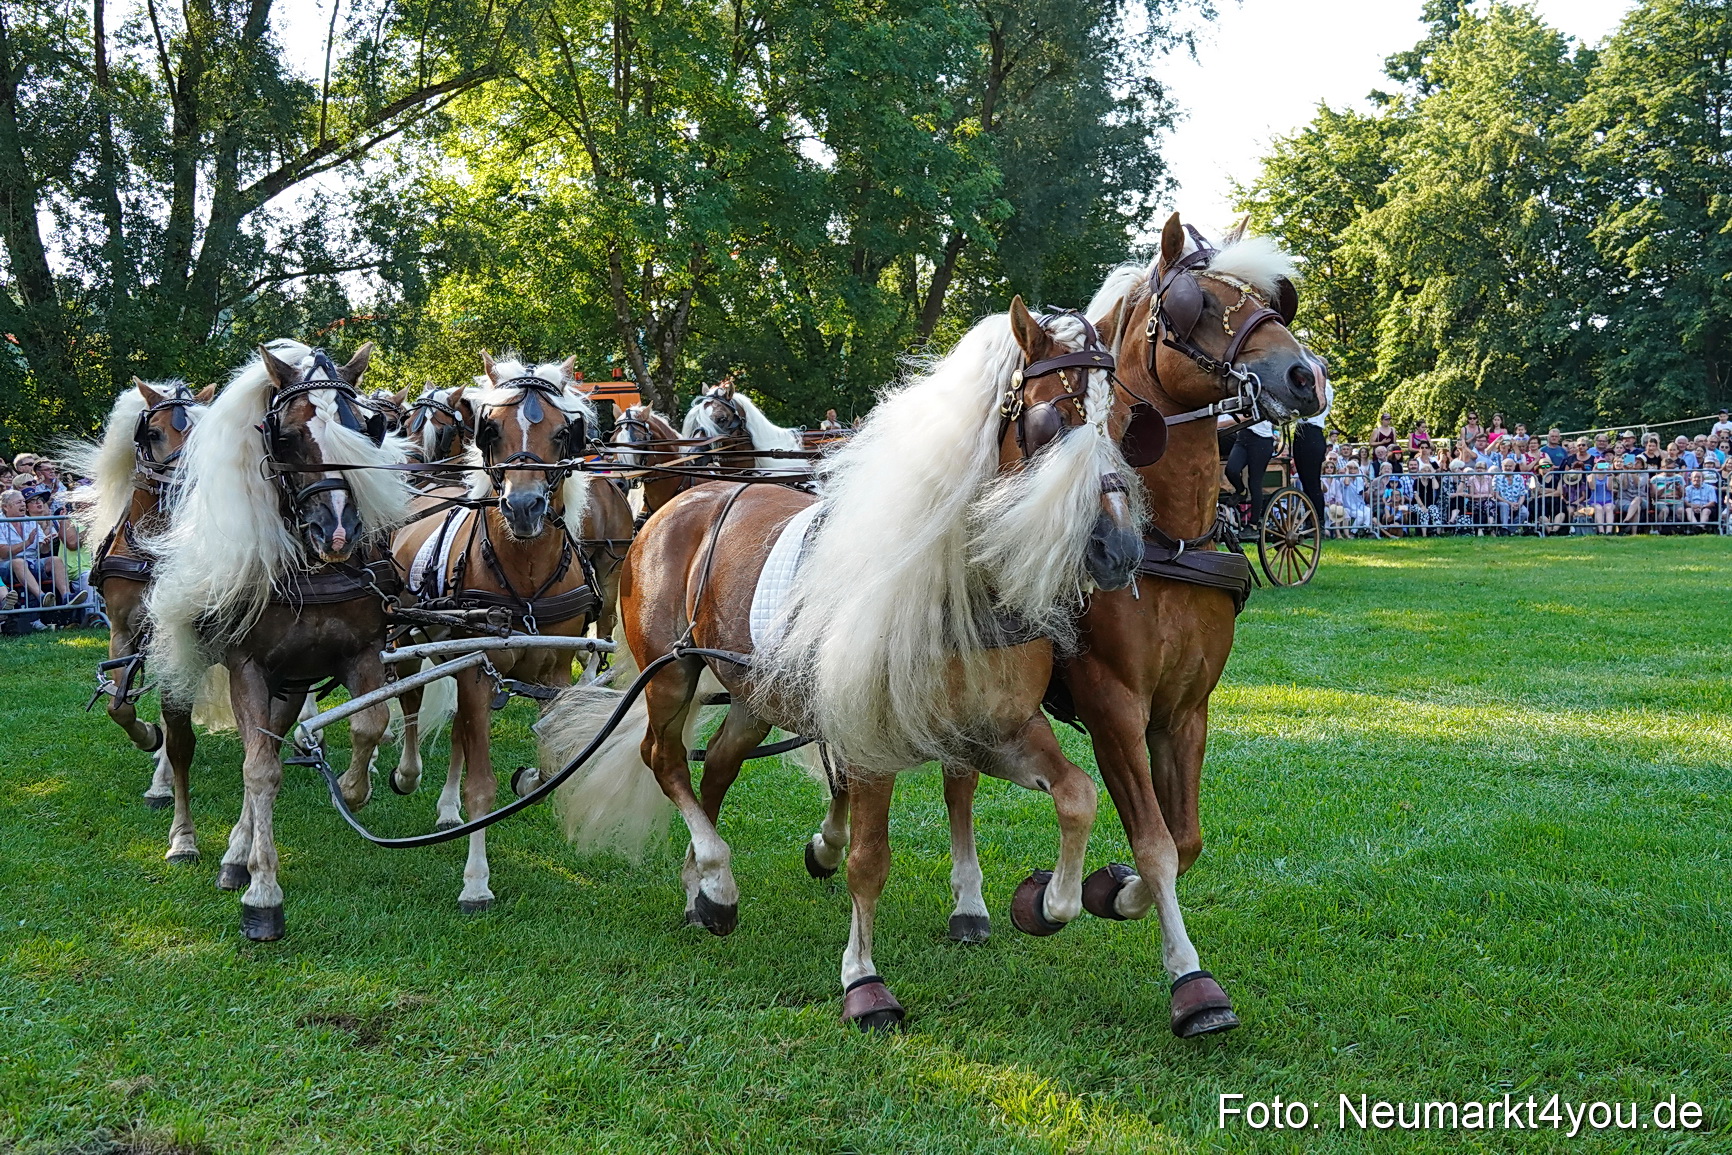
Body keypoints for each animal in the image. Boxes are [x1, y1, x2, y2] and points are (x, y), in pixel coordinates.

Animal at [61, 379, 215, 858]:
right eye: (153, 433)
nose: (188, 483)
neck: (152, 549)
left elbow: (176, 732)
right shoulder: (123, 632)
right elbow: (120, 706)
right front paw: (148, 737)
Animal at [143, 341, 416, 941]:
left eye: (363, 429)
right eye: (287, 438)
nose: (337, 533)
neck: (314, 571)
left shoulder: (360, 653)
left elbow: (368, 725)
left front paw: (353, 789)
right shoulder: (247, 666)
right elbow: (260, 769)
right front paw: (263, 893)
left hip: (290, 684)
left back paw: (234, 853)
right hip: (188, 675)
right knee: (183, 746)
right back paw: (187, 840)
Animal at [384, 354, 632, 911]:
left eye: (564, 433)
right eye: (490, 429)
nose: (523, 507)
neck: (525, 575)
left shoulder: (553, 672)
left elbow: (551, 757)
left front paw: (530, 778)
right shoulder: (477, 671)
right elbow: (483, 785)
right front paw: (476, 881)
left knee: (458, 730)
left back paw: (446, 807)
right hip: (412, 640)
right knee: (409, 702)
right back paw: (405, 773)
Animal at [538, 296, 1145, 1027]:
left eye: (1124, 420)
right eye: (1054, 418)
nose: (1120, 548)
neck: (953, 586)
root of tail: (683, 501)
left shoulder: (994, 731)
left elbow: (1078, 795)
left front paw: (1050, 903)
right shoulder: (871, 746)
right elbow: (868, 859)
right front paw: (863, 979)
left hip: (753, 696)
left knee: (715, 768)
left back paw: (704, 890)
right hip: (673, 675)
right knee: (664, 758)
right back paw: (716, 874)